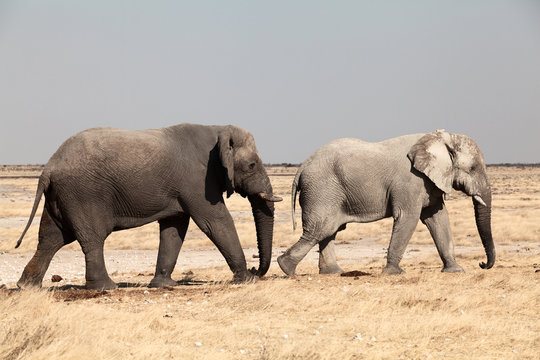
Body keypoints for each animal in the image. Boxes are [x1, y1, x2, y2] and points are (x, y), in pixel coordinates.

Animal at [15, 124, 282, 290]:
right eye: (251, 165)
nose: (256, 268)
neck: (217, 129)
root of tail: (49, 167)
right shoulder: (197, 180)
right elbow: (215, 221)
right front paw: (246, 281)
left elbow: (175, 228)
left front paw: (164, 285)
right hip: (83, 193)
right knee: (91, 238)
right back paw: (105, 288)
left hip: (60, 196)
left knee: (51, 238)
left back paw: (27, 287)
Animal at [280, 131, 496, 274]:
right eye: (473, 168)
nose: (482, 264)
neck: (438, 138)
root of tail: (303, 165)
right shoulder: (410, 181)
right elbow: (408, 218)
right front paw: (393, 273)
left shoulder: (428, 182)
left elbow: (438, 219)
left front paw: (456, 271)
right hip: (322, 190)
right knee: (320, 229)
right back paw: (286, 268)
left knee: (329, 230)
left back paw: (334, 272)